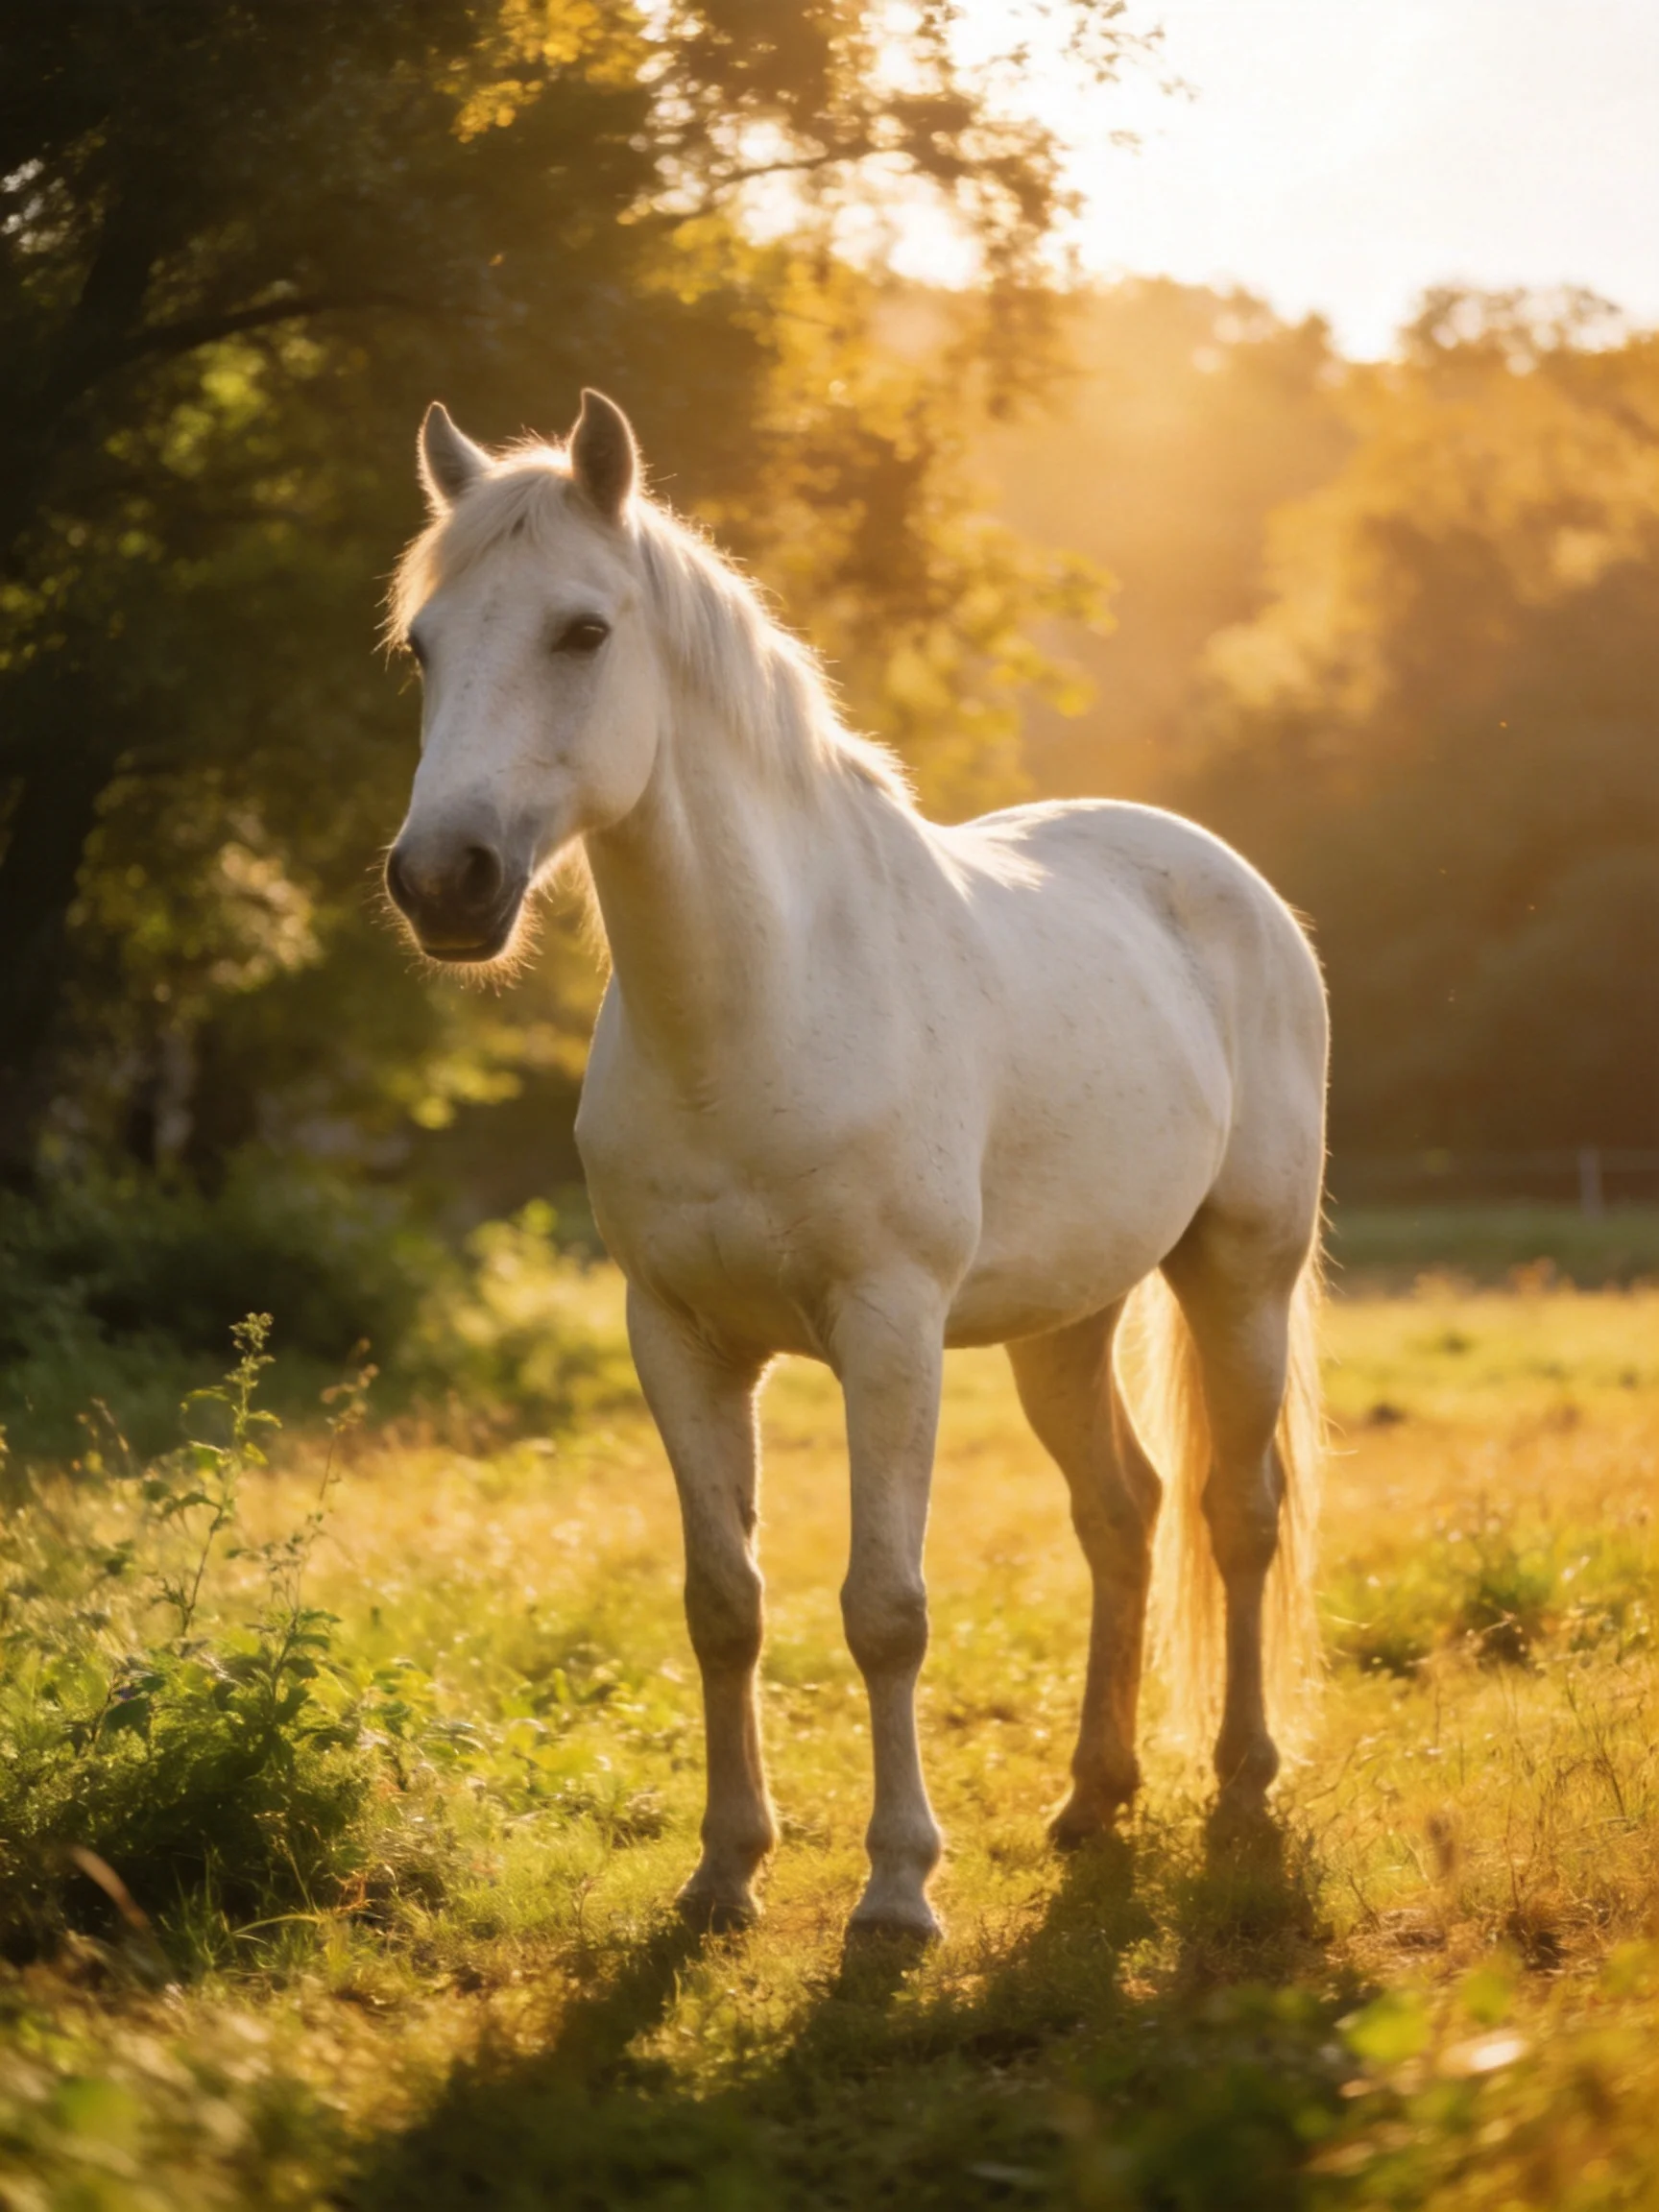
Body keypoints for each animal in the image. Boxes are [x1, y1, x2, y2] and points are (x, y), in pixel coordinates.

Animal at [383, 387, 1328, 1941]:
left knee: (1235, 1517)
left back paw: (1241, 1787)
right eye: (424, 644)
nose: (441, 882)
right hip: (1067, 1319)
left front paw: (895, 1891)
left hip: (1239, 1274)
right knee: (1121, 1518)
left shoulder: (890, 1333)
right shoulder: (678, 1337)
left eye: (583, 631)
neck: (760, 1006)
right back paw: (1094, 1798)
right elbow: (724, 1604)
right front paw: (724, 1872)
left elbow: (886, 1609)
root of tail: (1225, 878)